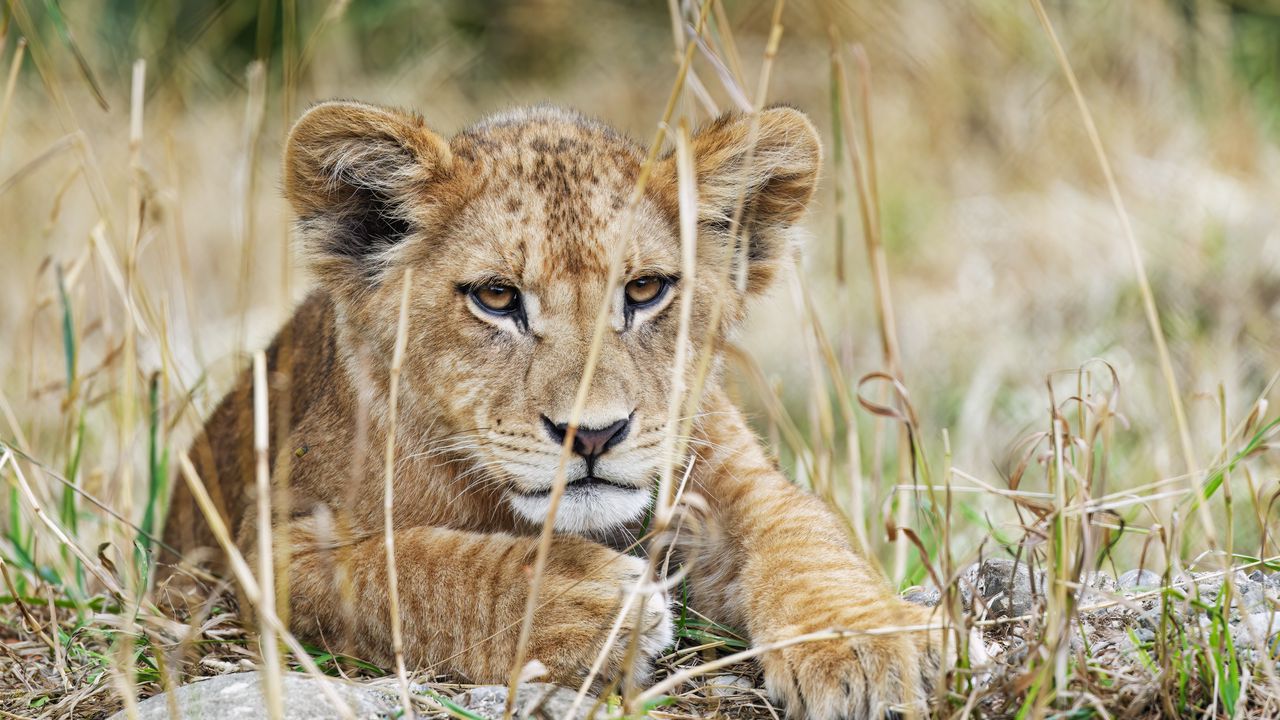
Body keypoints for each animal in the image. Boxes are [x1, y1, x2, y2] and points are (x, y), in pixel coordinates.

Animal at [162, 101, 939, 719]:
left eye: (646, 289)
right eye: (497, 298)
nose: (591, 436)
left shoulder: (732, 475)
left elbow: (805, 530)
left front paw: (859, 644)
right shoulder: (263, 549)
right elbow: (404, 570)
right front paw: (584, 603)